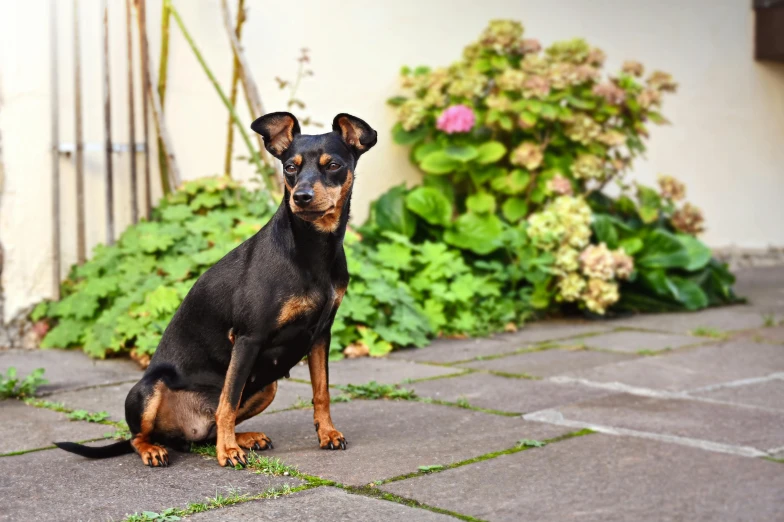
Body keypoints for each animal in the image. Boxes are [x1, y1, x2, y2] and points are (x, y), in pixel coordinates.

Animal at [55, 111, 376, 466]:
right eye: (289, 168)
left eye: (332, 165)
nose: (301, 197)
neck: (311, 248)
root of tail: (182, 433)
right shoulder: (248, 338)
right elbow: (228, 401)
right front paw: (229, 453)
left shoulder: (320, 335)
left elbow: (321, 392)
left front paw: (327, 434)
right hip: (148, 389)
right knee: (139, 435)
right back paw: (159, 449)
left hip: (268, 387)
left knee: (206, 432)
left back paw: (243, 438)